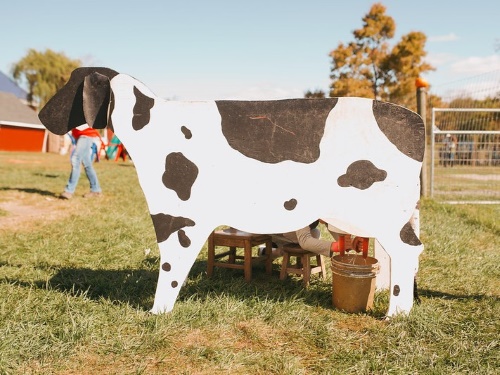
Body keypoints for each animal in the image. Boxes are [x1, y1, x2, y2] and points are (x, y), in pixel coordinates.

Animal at [39, 67, 426, 318]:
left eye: (70, 85)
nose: (42, 114)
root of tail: (415, 119)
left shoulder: (178, 217)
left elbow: (170, 267)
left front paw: (157, 312)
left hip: (383, 214)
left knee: (405, 251)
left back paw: (396, 315)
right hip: (394, 215)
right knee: (403, 252)